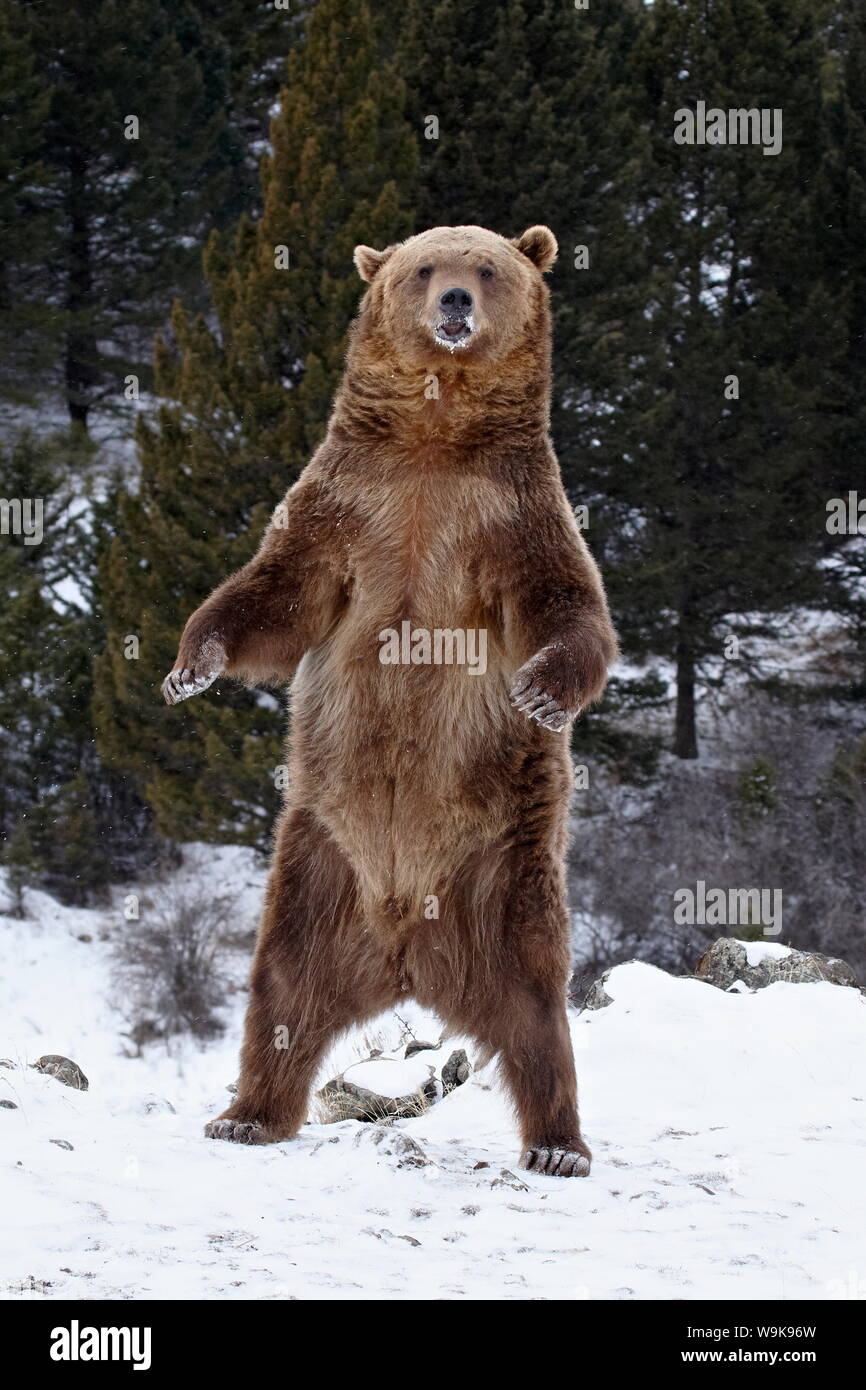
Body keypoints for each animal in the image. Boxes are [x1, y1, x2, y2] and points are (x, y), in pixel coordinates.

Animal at [162, 222, 619, 1178]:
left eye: (486, 267)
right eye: (423, 268)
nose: (455, 302)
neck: (433, 440)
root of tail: (409, 948)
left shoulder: (510, 518)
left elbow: (565, 603)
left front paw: (541, 691)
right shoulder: (347, 504)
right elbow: (276, 595)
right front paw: (191, 665)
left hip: (507, 873)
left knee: (537, 1014)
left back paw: (559, 1144)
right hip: (317, 863)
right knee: (282, 990)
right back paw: (248, 1114)